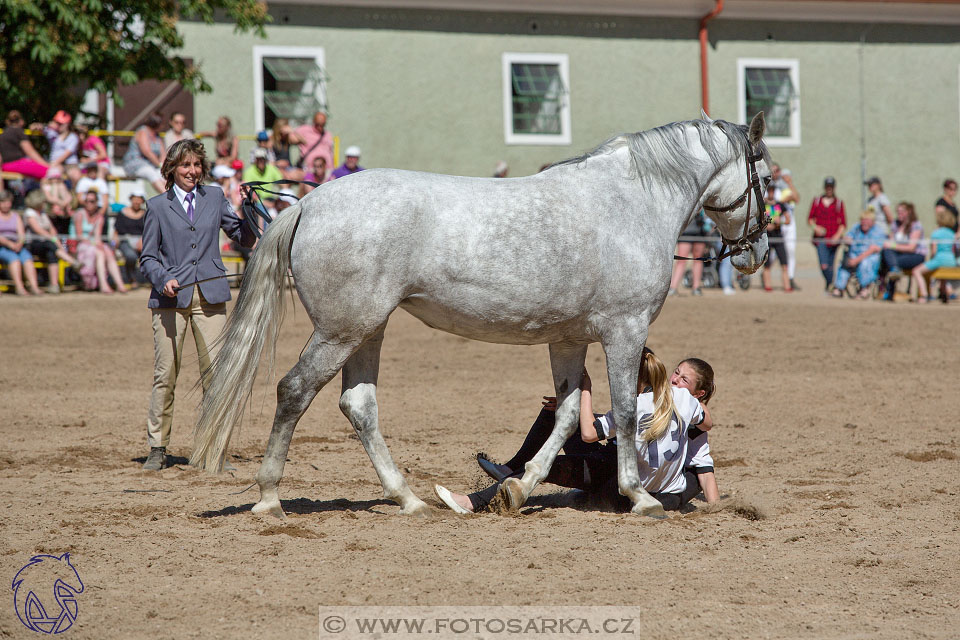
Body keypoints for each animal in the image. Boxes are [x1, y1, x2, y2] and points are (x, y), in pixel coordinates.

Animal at [191, 112, 768, 516]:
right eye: (764, 172)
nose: (756, 254)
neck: (630, 203)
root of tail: (308, 204)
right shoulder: (625, 329)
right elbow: (626, 412)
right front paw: (639, 497)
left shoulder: (569, 339)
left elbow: (566, 415)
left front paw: (519, 488)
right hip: (340, 331)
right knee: (294, 391)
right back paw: (269, 498)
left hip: (367, 330)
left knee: (359, 407)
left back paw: (410, 499)